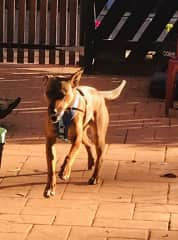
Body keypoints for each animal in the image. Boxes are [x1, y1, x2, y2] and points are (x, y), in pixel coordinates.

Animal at [43, 69, 126, 197]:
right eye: (48, 93)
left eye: (62, 95)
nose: (53, 112)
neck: (63, 115)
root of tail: (98, 92)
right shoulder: (50, 141)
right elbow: (51, 168)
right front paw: (50, 188)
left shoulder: (76, 139)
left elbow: (69, 156)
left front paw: (65, 172)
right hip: (83, 133)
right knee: (89, 144)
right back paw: (91, 161)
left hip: (98, 135)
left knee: (100, 156)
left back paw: (95, 177)